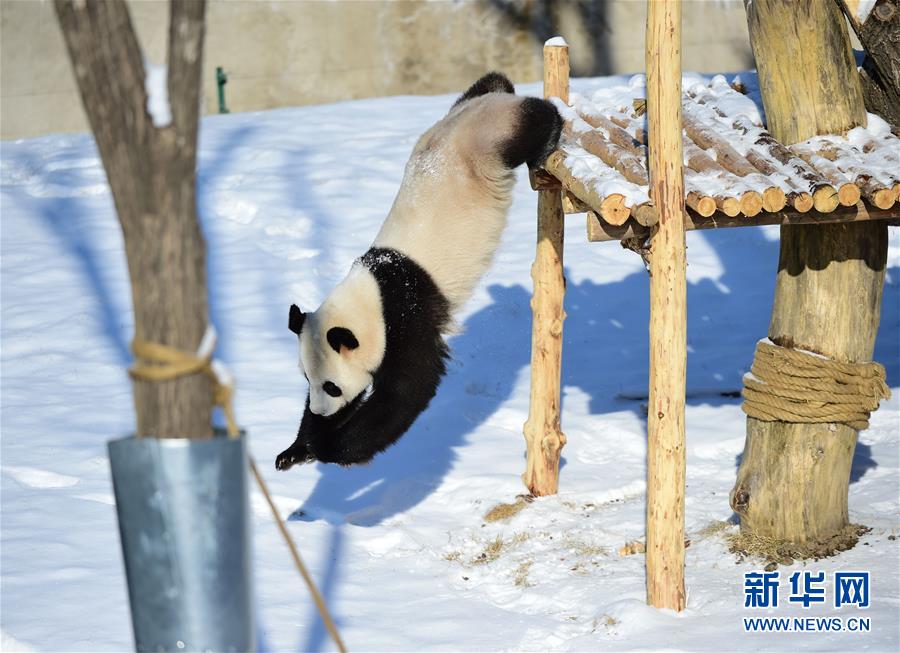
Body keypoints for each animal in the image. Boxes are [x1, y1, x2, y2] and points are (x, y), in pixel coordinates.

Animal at [276, 72, 564, 468]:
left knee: (534, 121)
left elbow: (408, 388)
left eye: (331, 386)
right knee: (491, 82)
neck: (372, 288)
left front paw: (330, 447)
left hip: (493, 138)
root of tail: (486, 107)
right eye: (307, 378)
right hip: (471, 109)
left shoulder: (405, 316)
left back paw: (550, 128)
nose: (322, 411)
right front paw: (296, 448)